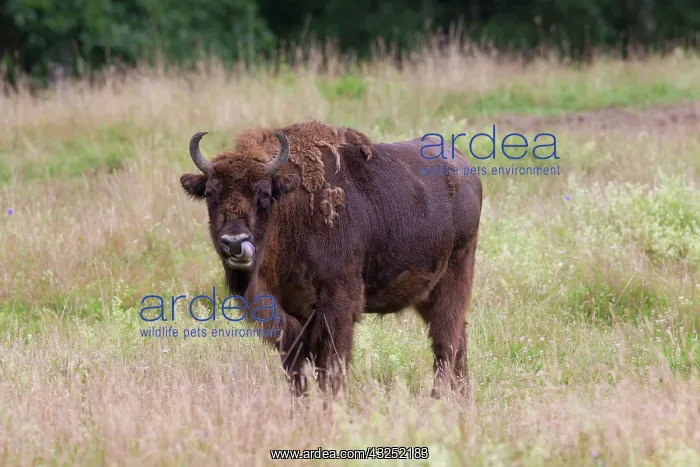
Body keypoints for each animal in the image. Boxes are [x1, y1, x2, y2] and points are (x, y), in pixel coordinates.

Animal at [180, 121, 482, 399]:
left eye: (263, 194)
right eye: (210, 194)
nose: (234, 242)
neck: (289, 210)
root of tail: (464, 168)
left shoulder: (336, 307)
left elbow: (331, 370)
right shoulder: (289, 319)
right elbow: (297, 375)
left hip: (453, 280)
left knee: (446, 343)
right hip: (427, 294)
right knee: (458, 341)